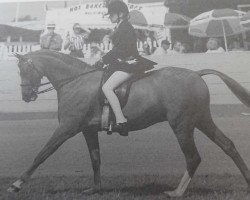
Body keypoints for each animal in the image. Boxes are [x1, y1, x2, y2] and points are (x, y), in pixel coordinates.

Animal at [7, 49, 250, 197]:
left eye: (24, 69)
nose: (26, 96)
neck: (76, 81)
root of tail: (196, 74)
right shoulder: (87, 131)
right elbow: (95, 159)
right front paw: (95, 190)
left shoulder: (66, 128)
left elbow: (42, 154)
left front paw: (16, 185)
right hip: (201, 120)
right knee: (228, 145)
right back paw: (247, 181)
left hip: (181, 125)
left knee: (193, 157)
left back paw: (176, 192)